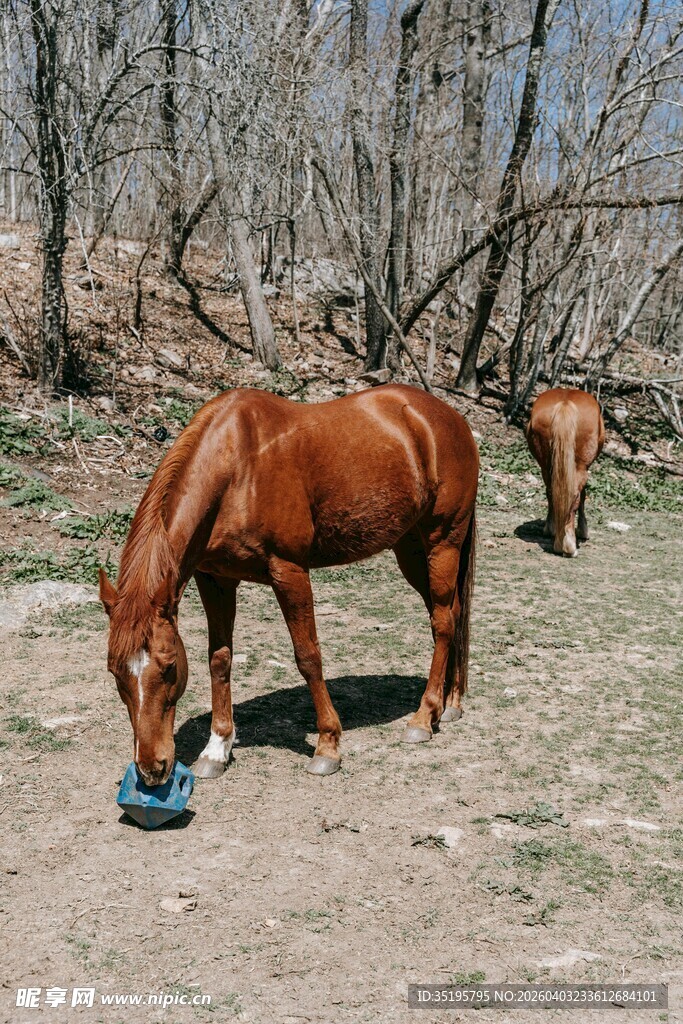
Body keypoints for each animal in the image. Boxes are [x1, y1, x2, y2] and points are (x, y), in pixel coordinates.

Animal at [99, 384, 478, 785]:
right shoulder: (215, 579)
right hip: (411, 549)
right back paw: (449, 704)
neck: (236, 468)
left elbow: (308, 656)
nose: (151, 769)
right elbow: (219, 658)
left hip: (443, 542)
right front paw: (216, 748)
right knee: (450, 615)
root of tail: (448, 417)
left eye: (169, 666)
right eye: (115, 672)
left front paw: (328, 745)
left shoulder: (289, 572)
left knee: (443, 622)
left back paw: (423, 717)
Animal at [525, 388, 605, 557]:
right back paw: (568, 546)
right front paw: (583, 530)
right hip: (580, 467)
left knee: (552, 492)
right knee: (574, 496)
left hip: (547, 467)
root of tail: (565, 403)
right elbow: (583, 496)